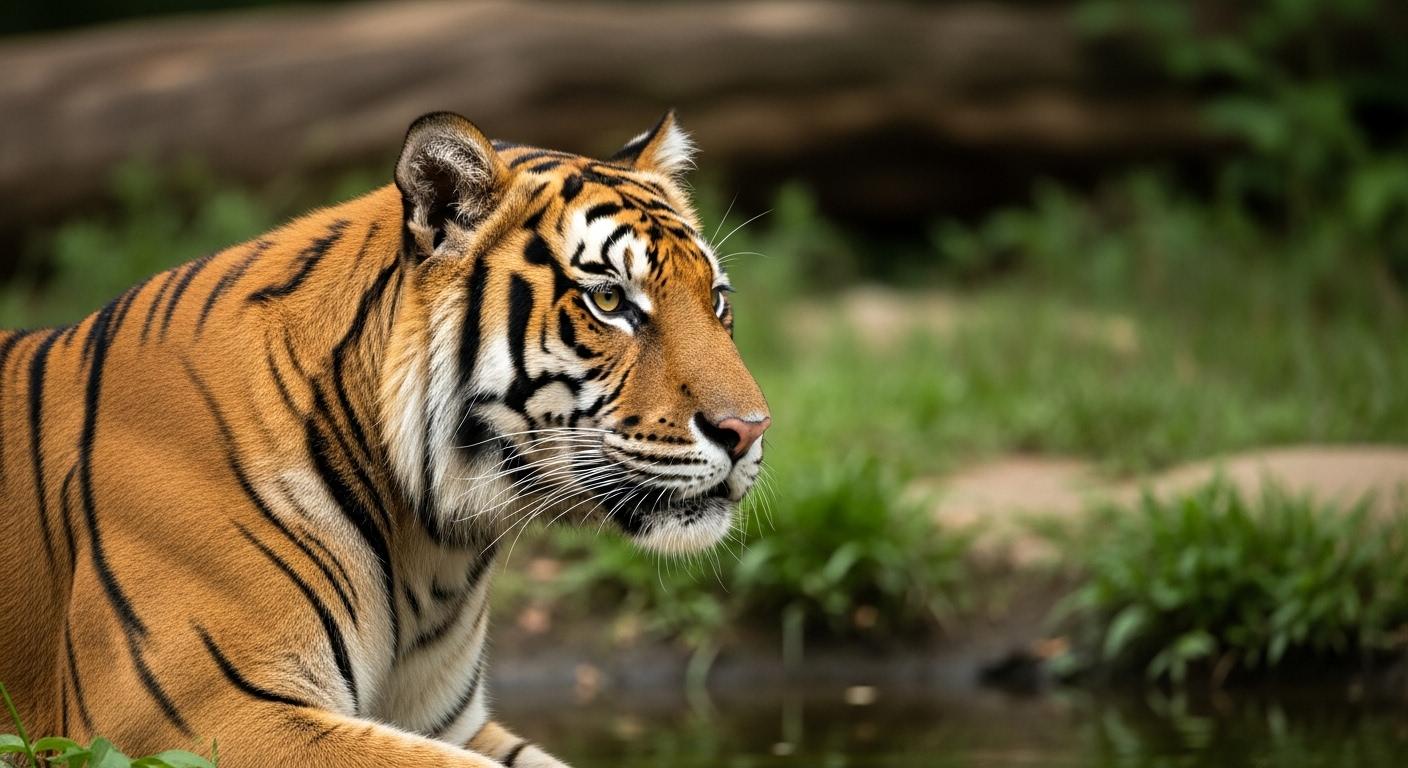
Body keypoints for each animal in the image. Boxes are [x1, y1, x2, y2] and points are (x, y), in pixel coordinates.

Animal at [0, 111, 770, 767]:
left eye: (718, 300)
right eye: (609, 300)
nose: (749, 430)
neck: (431, 544)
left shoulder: (447, 721)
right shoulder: (207, 715)